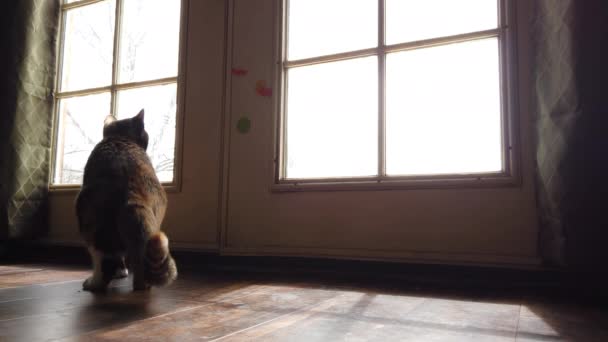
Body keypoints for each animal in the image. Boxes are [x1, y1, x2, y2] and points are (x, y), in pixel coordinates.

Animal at [75, 109, 176, 292]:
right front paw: (122, 273)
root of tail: (132, 194)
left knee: (105, 262)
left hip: (88, 218)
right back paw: (142, 284)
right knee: (139, 265)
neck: (119, 137)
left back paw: (93, 284)